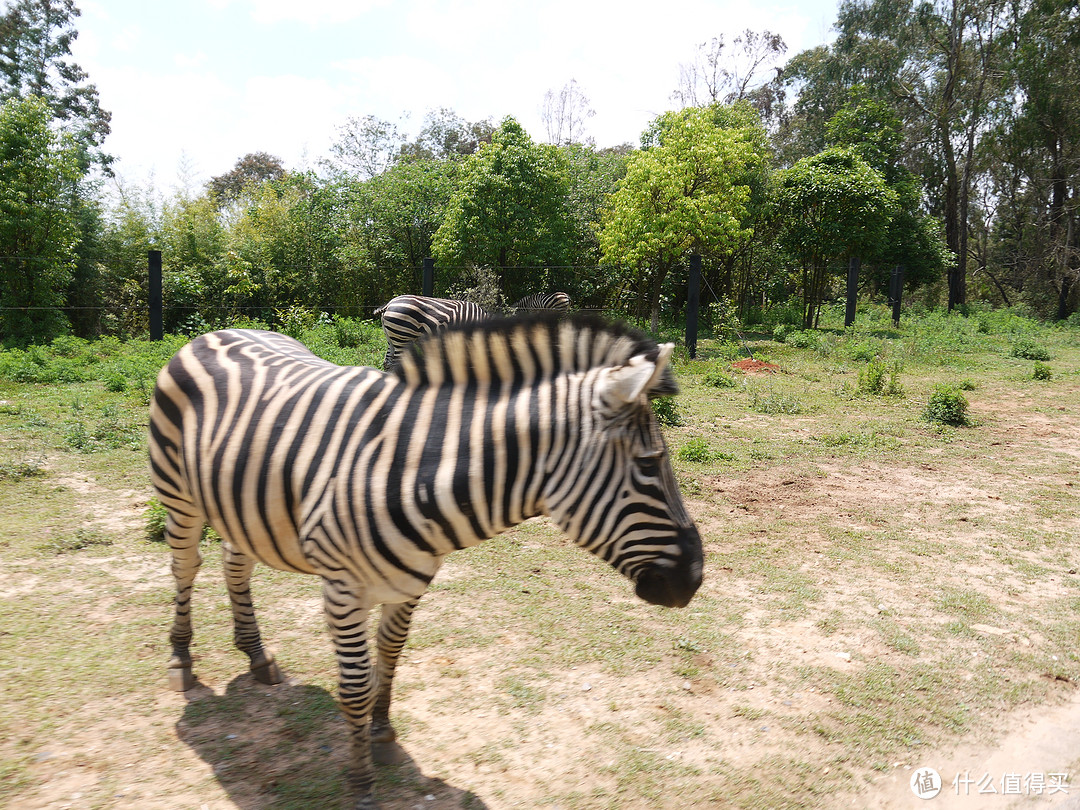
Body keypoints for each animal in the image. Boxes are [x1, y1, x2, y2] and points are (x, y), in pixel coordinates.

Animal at [150, 315, 699, 810]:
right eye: (649, 465)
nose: (694, 580)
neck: (410, 474)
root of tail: (218, 331)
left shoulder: (410, 584)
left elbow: (389, 659)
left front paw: (383, 734)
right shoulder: (343, 590)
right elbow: (355, 685)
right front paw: (360, 784)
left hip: (240, 504)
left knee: (234, 563)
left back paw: (256, 654)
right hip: (180, 496)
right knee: (186, 566)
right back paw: (180, 658)